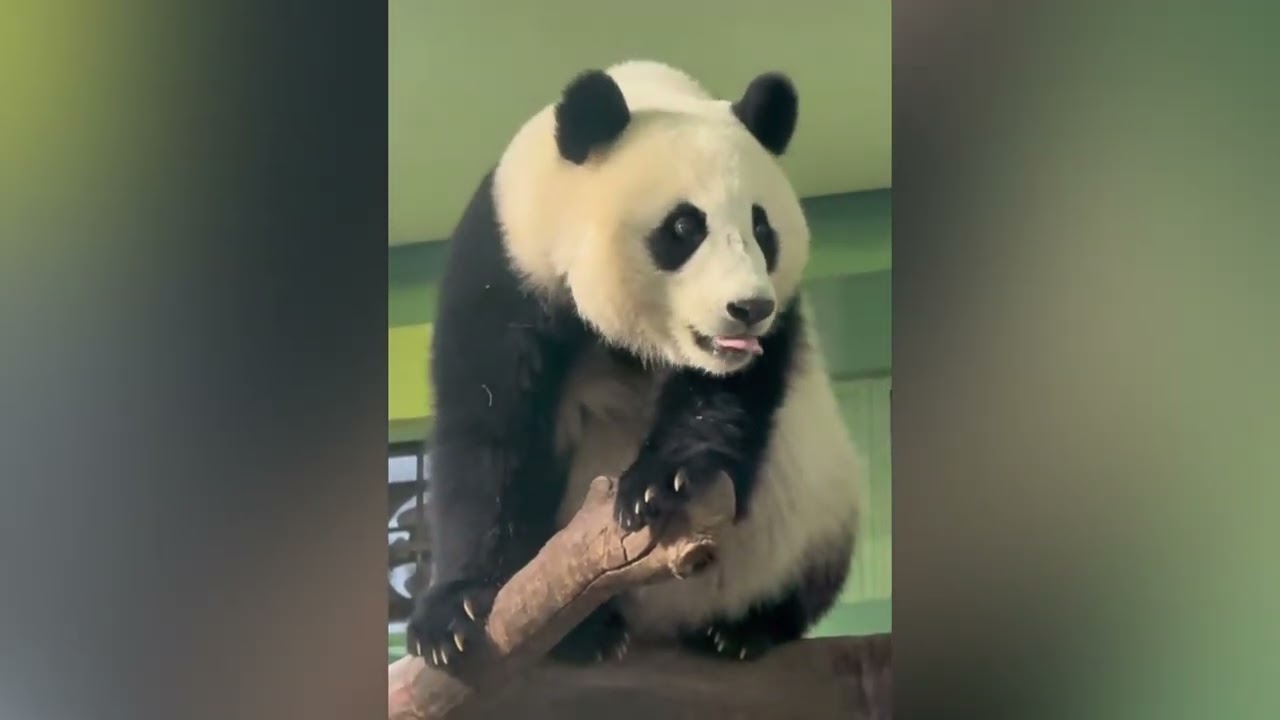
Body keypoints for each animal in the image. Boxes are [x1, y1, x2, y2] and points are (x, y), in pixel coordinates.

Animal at [409, 60, 862, 667]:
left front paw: (660, 486)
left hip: (817, 513)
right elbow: (488, 430)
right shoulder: (506, 260)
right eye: (684, 227)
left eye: (762, 229)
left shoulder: (778, 323)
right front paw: (451, 614)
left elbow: (726, 403)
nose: (749, 309)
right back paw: (587, 632)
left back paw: (744, 629)